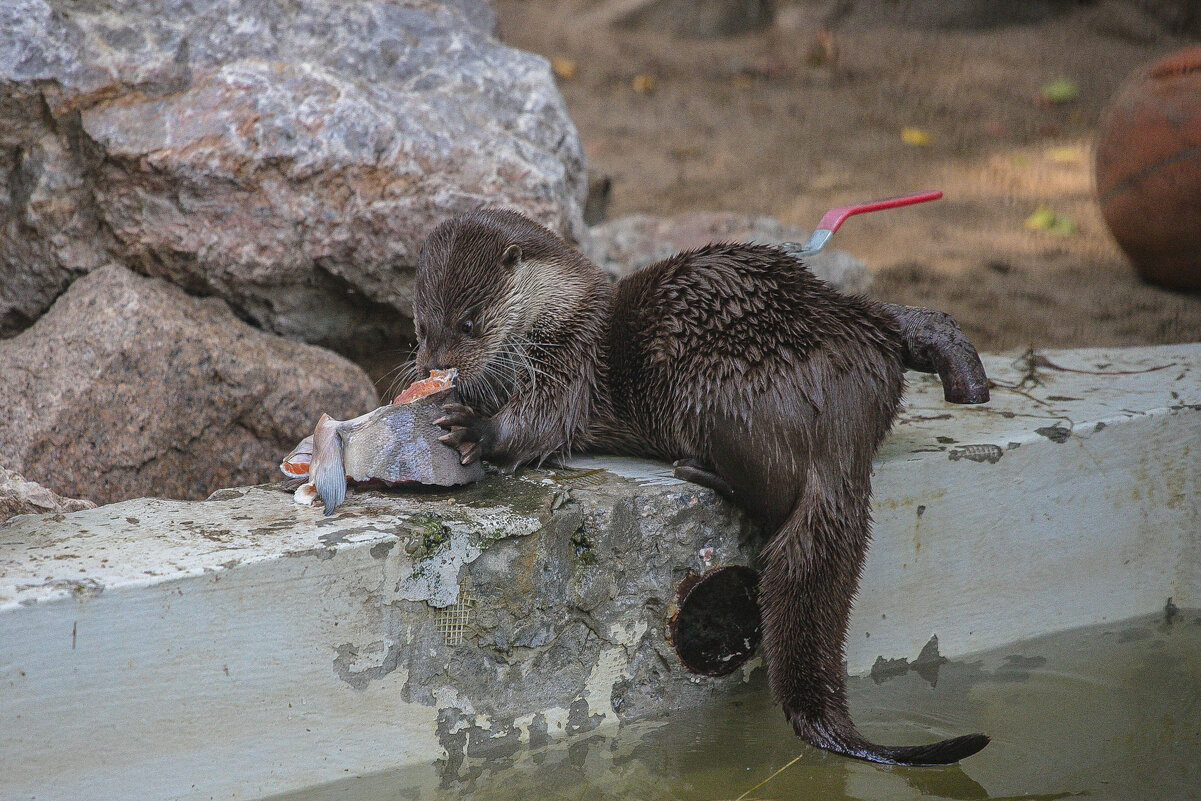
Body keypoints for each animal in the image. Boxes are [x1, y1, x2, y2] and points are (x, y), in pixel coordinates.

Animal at [413, 206, 984, 763]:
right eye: (419, 327)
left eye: (469, 323)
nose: (433, 365)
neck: (565, 317)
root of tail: (844, 405)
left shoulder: (572, 365)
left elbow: (541, 424)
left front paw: (477, 429)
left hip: (720, 391)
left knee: (770, 493)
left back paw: (696, 469)